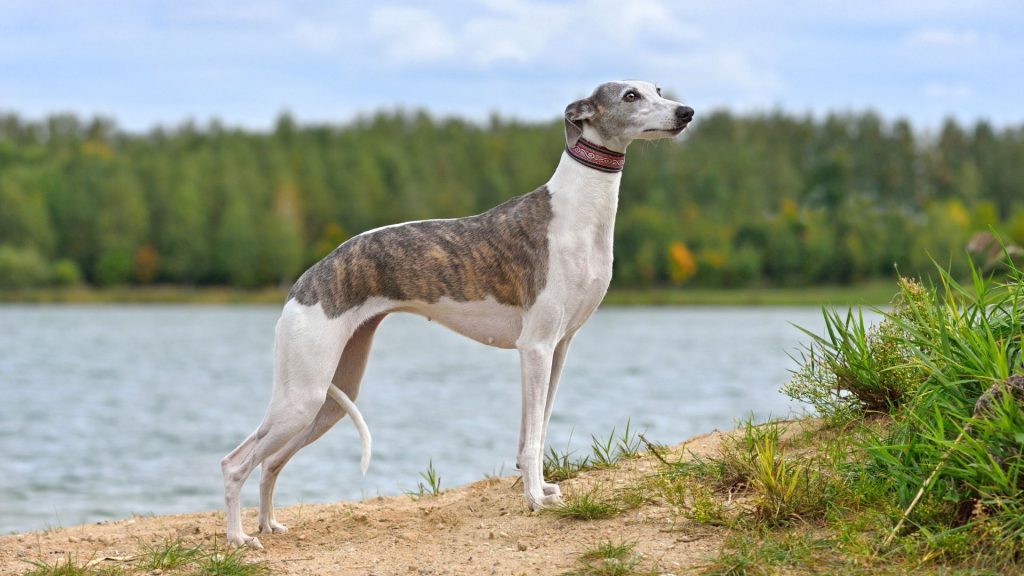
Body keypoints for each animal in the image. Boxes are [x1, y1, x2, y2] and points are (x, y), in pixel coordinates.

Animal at [220, 78, 692, 545]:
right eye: (630, 95)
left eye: (657, 89)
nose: (686, 113)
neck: (576, 212)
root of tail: (304, 279)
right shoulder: (535, 347)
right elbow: (531, 440)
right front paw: (534, 499)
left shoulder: (558, 349)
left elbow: (537, 428)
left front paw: (541, 489)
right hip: (302, 395)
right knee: (234, 463)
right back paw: (239, 539)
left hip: (329, 397)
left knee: (270, 463)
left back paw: (268, 524)